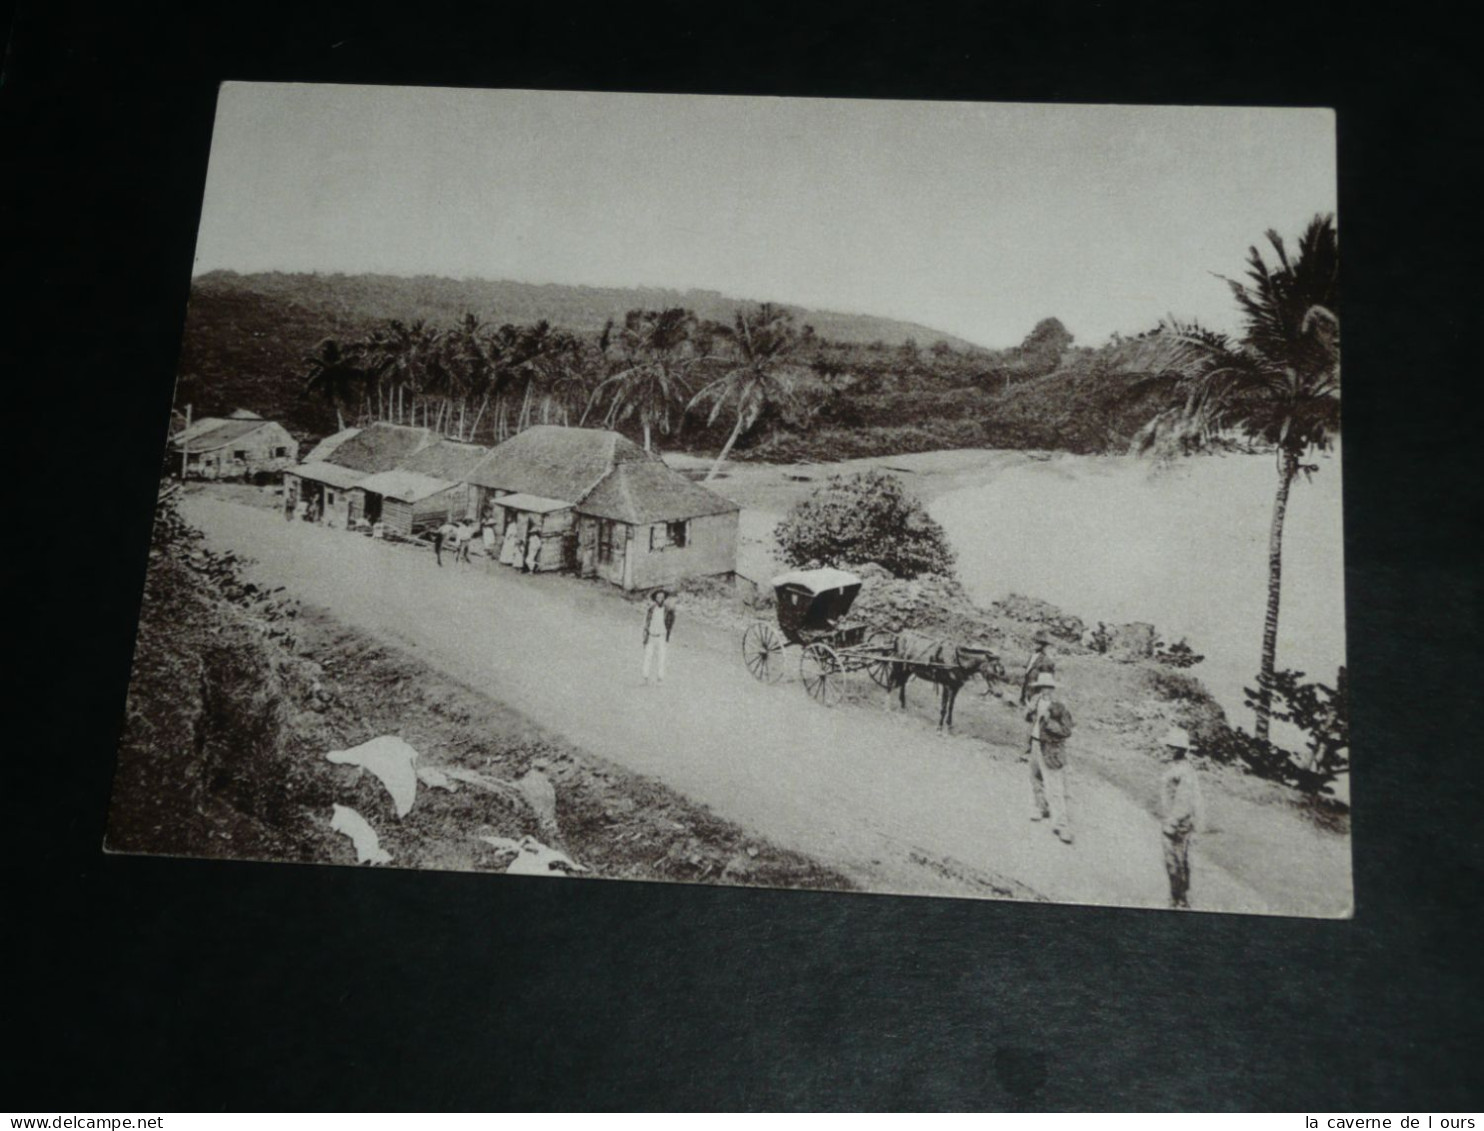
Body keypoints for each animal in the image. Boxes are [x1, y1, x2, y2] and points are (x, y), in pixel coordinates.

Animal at [878, 626, 1009, 730]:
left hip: (908, 668)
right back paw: (886, 707)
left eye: (1001, 672)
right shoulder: (946, 685)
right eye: (992, 672)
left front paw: (949, 726)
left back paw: (903, 706)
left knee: (903, 683)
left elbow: (951, 707)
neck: (956, 661)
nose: (999, 693)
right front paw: (940, 728)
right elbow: (944, 707)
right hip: (897, 664)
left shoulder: (956, 688)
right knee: (891, 681)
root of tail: (900, 635)